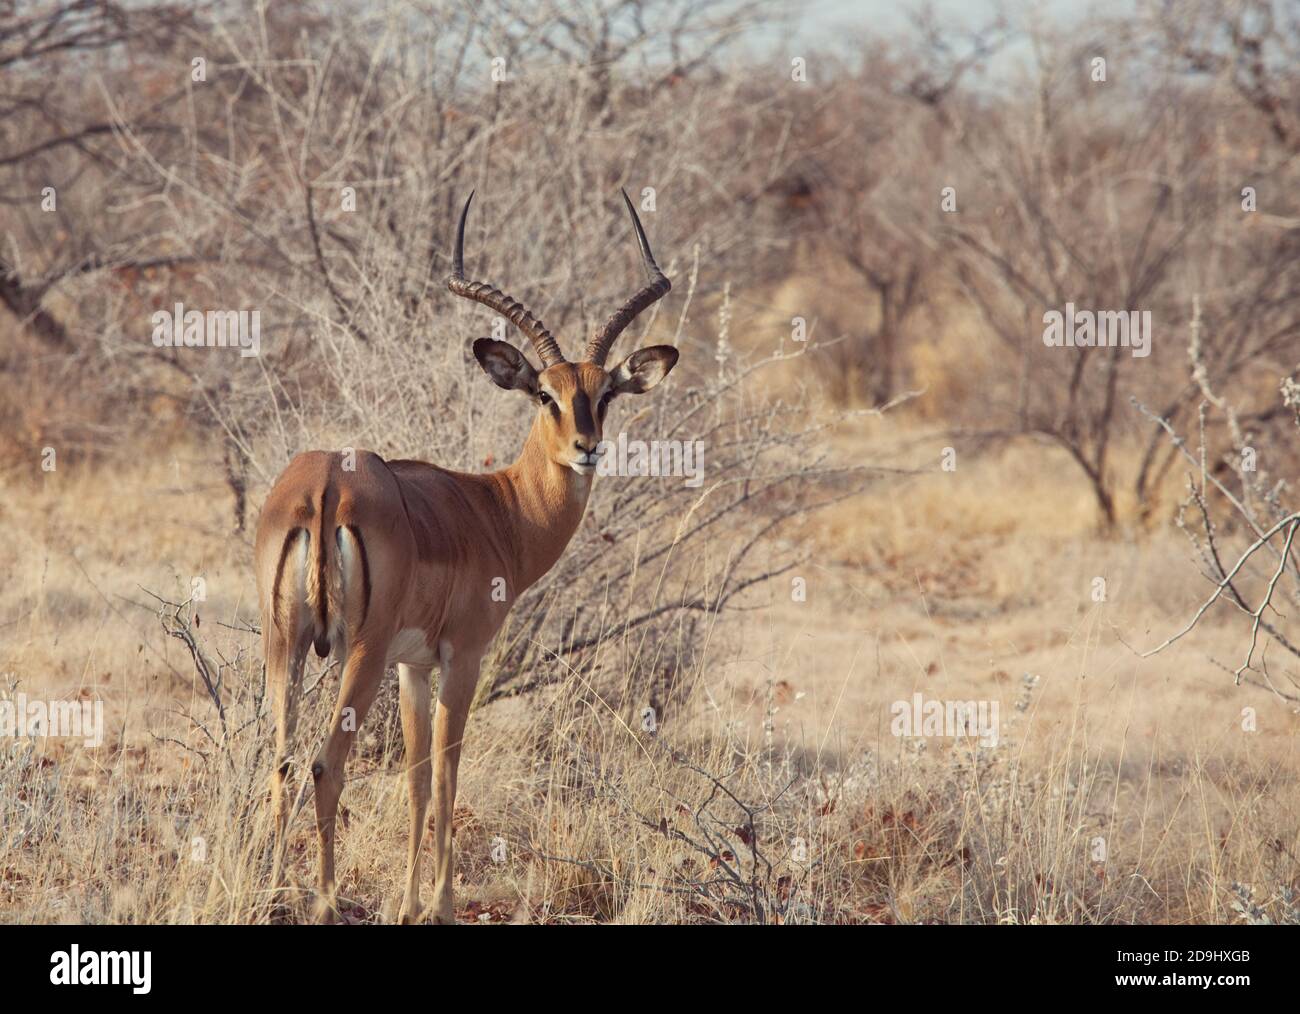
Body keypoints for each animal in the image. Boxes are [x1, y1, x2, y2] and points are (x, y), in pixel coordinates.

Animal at [255, 190, 677, 923]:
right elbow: (450, 776)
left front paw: (406, 905)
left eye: (605, 394)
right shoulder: (464, 657)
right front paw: (439, 906)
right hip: (357, 652)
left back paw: (272, 891)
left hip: (286, 642)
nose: (587, 447)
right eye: (546, 394)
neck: (496, 510)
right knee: (324, 766)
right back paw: (325, 903)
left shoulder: (412, 667)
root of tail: (324, 486)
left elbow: (418, 779)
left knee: (279, 762)